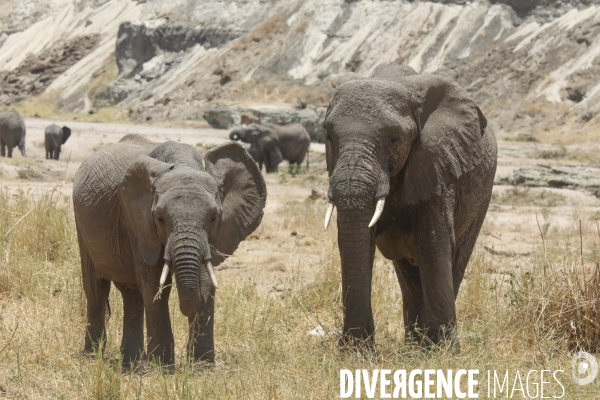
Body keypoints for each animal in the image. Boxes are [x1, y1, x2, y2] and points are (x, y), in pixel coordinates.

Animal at [72, 135, 264, 366]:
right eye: (160, 219)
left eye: (214, 217)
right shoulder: (138, 224)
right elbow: (155, 285)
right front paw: (163, 366)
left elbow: (205, 280)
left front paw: (202, 366)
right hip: (82, 228)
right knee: (96, 289)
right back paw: (93, 356)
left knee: (132, 294)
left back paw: (132, 362)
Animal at [324, 64, 496, 348]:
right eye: (329, 137)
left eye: (394, 139)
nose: (347, 346)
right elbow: (357, 241)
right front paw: (357, 351)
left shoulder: (436, 162)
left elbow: (432, 243)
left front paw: (442, 351)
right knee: (408, 273)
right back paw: (414, 345)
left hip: (482, 195)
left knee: (456, 256)